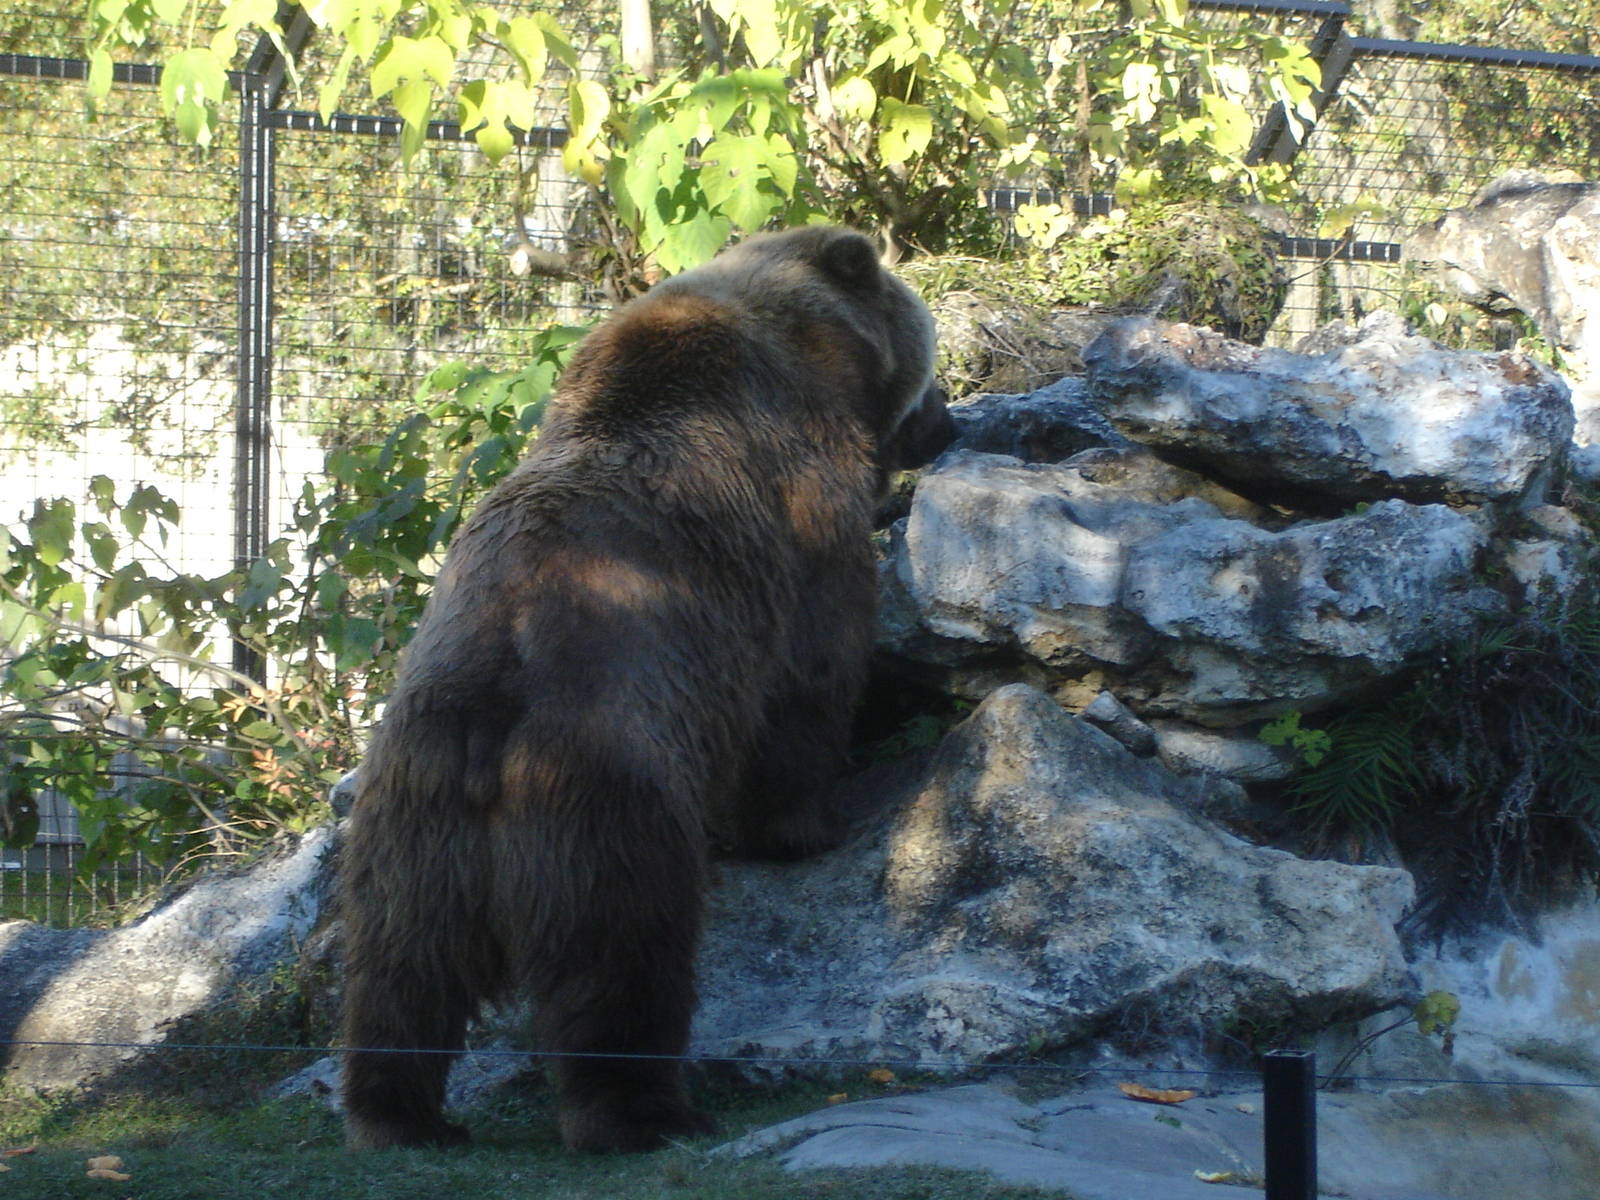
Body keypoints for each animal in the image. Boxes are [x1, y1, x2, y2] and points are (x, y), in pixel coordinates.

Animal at [338, 226, 943, 1154]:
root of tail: (491, 712)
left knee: (402, 961)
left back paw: (398, 1115)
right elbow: (810, 674)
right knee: (621, 954)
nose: (950, 422)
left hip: (413, 801)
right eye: (930, 355)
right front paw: (808, 823)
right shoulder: (799, 511)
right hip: (607, 780)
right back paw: (647, 1113)